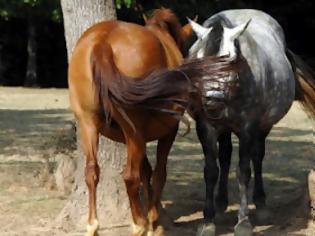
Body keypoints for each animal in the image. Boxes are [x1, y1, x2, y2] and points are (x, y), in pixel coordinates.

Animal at [68, 8, 233, 235]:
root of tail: (103, 40)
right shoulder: (167, 132)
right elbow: (158, 174)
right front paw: (153, 219)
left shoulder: (139, 137)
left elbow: (146, 172)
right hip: (133, 129)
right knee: (130, 177)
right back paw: (139, 224)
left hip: (89, 124)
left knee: (92, 171)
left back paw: (94, 224)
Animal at [189, 8, 314, 236]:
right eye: (200, 60)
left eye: (230, 60)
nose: (212, 100)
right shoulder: (206, 127)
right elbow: (211, 170)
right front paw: (208, 220)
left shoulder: (247, 128)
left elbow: (244, 172)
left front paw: (243, 221)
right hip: (225, 129)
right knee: (225, 157)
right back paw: (221, 205)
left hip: (263, 127)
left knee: (257, 157)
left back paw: (261, 204)